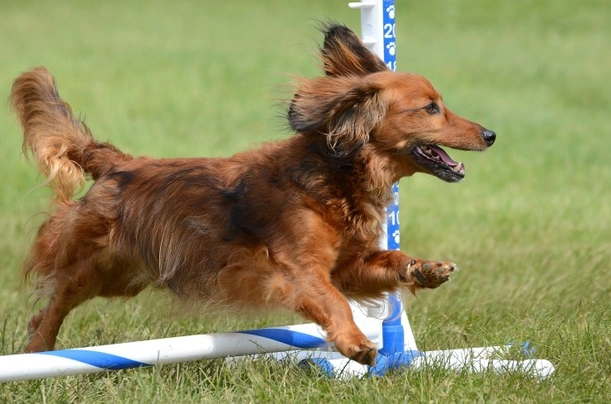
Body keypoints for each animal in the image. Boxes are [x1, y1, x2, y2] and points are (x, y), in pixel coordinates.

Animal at [9, 25, 494, 366]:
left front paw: (424, 268)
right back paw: (38, 349)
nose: (490, 134)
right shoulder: (300, 272)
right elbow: (334, 303)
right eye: (430, 108)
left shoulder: (348, 265)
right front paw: (355, 342)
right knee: (57, 297)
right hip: (96, 264)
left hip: (123, 275)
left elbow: (388, 260)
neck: (333, 178)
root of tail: (115, 163)